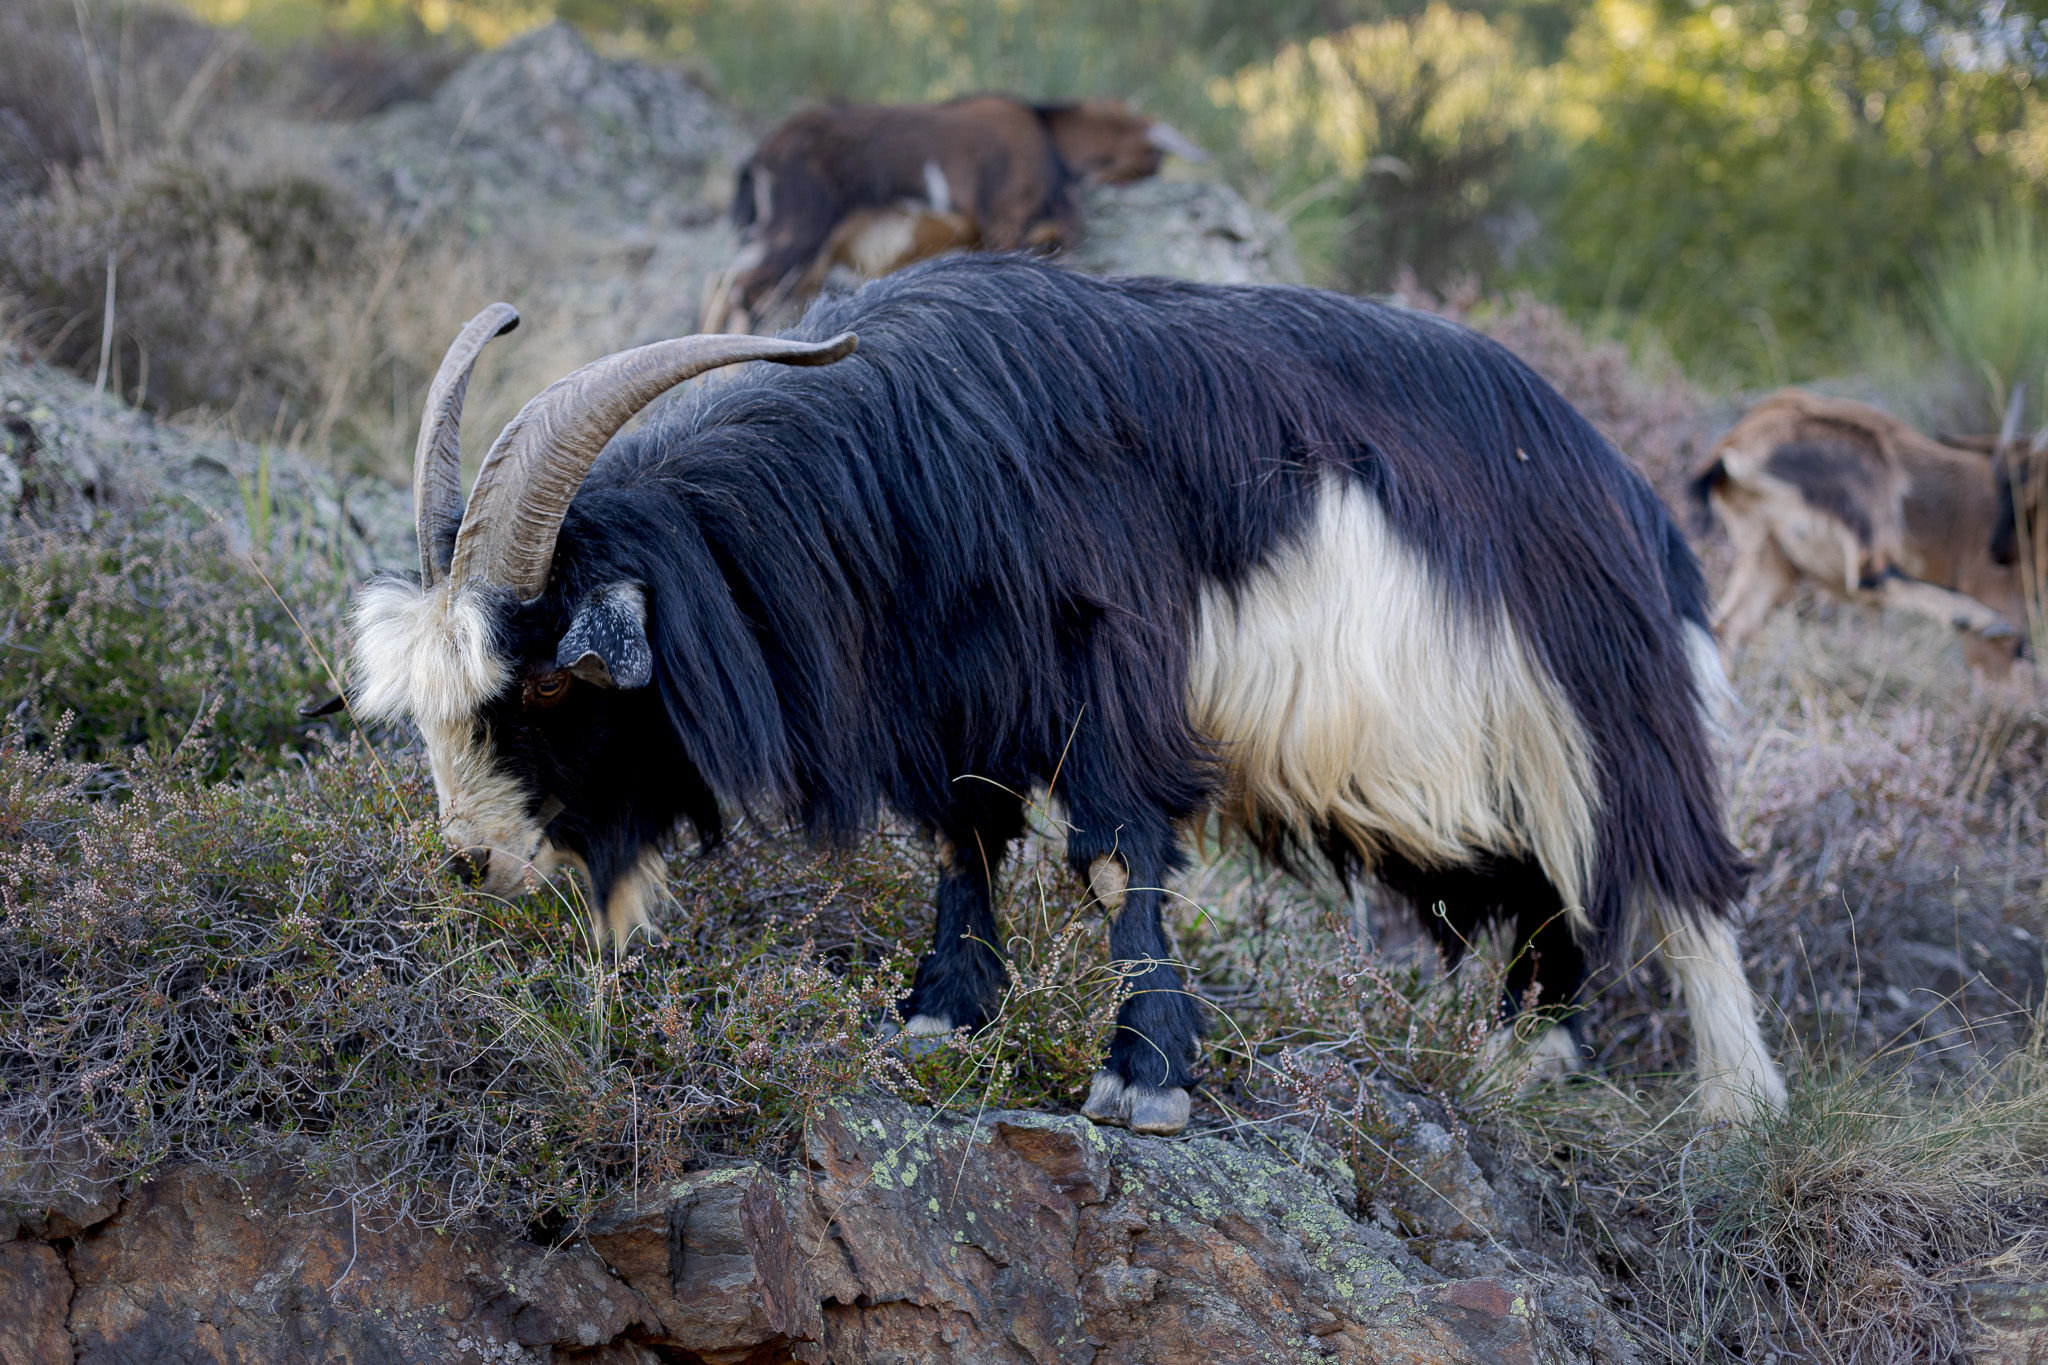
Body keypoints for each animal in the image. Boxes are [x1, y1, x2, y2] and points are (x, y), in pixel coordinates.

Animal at [356, 253, 1794, 1129]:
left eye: (549, 691)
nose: (473, 860)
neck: (908, 455)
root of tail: (1628, 493)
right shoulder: (958, 701)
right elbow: (962, 843)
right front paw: (940, 1016)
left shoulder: (1112, 675)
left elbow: (1113, 860)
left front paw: (1142, 1079)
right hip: (1439, 781)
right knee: (1549, 887)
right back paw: (1520, 1060)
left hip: (1597, 704)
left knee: (1677, 878)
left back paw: (1735, 1103)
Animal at [716, 94, 1196, 325]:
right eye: (1153, 156)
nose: (1158, 168)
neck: (1047, 135)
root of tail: (762, 155)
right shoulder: (1010, 224)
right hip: (801, 235)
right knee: (742, 289)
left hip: (789, 247)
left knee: (722, 283)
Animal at [1687, 388, 2023, 679]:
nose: (2000, 549)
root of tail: (1731, 451)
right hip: (1865, 488)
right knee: (1871, 579)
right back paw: (1981, 618)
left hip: (1768, 554)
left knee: (1726, 627)